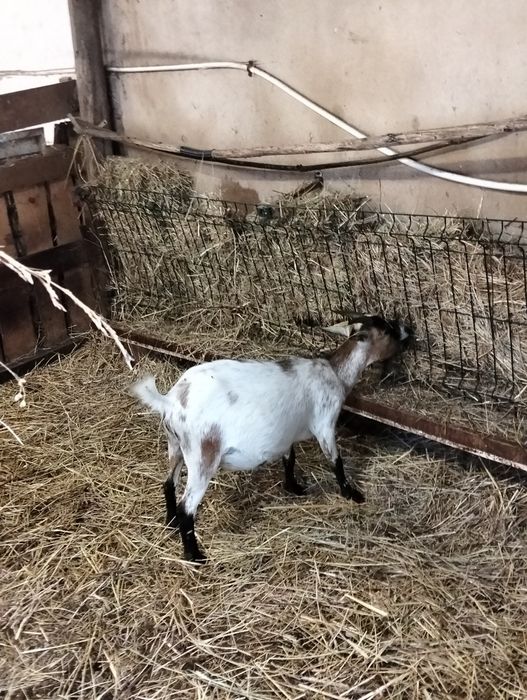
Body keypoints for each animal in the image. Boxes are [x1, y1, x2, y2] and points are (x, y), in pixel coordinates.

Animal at [132, 315, 412, 563]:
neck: (335, 372)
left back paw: (170, 523)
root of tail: (172, 401)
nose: (408, 331)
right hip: (203, 456)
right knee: (187, 507)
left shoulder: (286, 433)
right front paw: (351, 493)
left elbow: (290, 458)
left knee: (168, 483)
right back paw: (195, 555)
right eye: (387, 329)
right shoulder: (324, 423)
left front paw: (294, 487)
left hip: (176, 446)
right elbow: (335, 461)